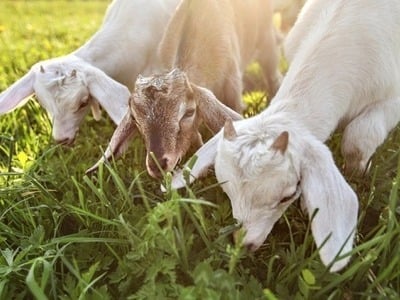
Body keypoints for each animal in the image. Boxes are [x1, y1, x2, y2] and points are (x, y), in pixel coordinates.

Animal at [169, 0, 400, 272]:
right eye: (225, 187)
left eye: (287, 195)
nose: (244, 244)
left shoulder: (392, 97)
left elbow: (359, 137)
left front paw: (360, 172)